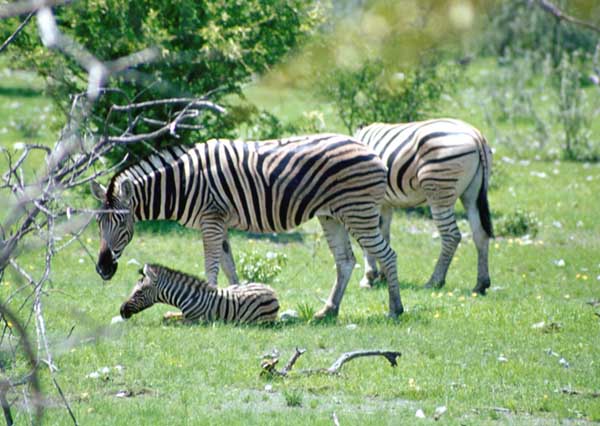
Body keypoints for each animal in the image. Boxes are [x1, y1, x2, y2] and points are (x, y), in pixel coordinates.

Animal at [122, 262, 284, 322]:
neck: (189, 297)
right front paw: (167, 315)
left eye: (138, 292)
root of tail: (272, 291)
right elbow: (167, 316)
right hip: (235, 287)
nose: (121, 311)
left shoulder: (193, 320)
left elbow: (169, 321)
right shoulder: (185, 315)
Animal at [356, 118, 492, 294]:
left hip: (439, 190)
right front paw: (383, 276)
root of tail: (475, 135)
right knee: (480, 234)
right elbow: (384, 235)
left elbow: (367, 240)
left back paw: (434, 282)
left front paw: (369, 278)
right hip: (472, 194)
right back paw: (481, 284)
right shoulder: (385, 204)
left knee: (452, 236)